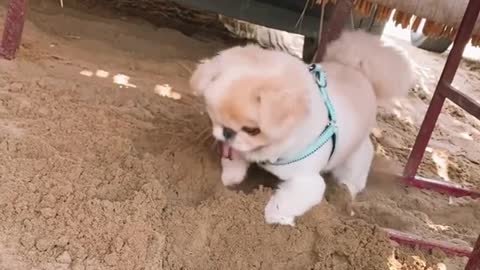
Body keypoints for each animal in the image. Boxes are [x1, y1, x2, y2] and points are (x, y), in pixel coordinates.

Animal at [189, 30, 414, 226]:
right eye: (213, 116)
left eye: (252, 130)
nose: (227, 133)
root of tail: (357, 69)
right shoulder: (240, 148)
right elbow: (235, 160)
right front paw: (231, 177)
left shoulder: (307, 182)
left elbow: (286, 201)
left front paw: (274, 216)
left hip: (355, 161)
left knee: (352, 182)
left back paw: (345, 192)